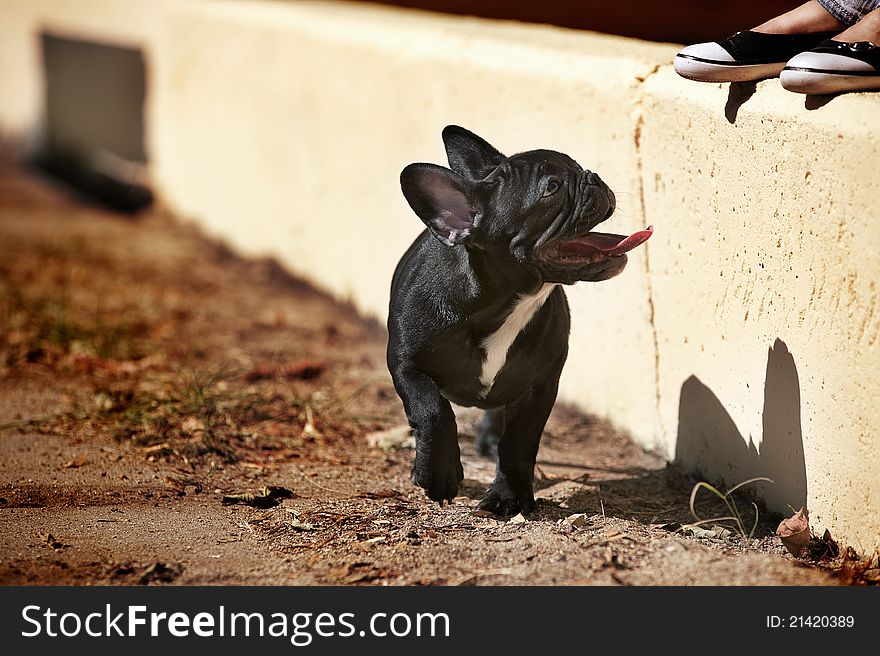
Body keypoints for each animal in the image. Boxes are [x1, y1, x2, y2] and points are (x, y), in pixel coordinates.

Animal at [388, 127, 648, 516]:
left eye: (577, 166)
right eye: (552, 187)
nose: (592, 177)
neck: (505, 304)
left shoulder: (540, 385)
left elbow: (519, 442)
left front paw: (507, 496)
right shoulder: (406, 365)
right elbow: (431, 410)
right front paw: (438, 474)